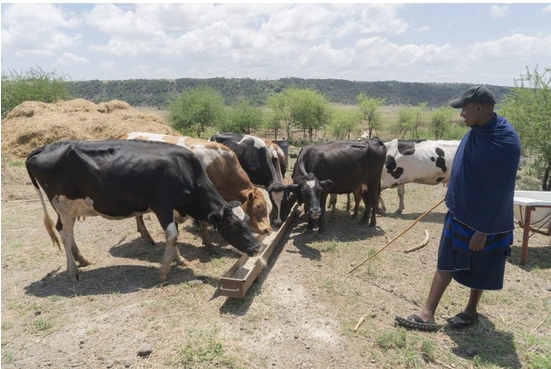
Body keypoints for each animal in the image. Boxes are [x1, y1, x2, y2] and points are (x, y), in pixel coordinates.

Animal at [27, 139, 264, 282]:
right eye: (234, 225)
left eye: (246, 222)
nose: (256, 248)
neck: (185, 170)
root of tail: (45, 148)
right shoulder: (162, 204)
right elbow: (172, 235)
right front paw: (165, 270)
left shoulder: (172, 209)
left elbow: (175, 236)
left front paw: (179, 260)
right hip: (63, 204)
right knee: (64, 233)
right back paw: (73, 271)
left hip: (69, 207)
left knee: (67, 231)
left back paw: (81, 259)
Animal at [119, 132, 272, 247]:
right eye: (258, 206)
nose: (268, 230)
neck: (219, 164)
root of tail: (125, 134)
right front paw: (208, 242)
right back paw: (147, 237)